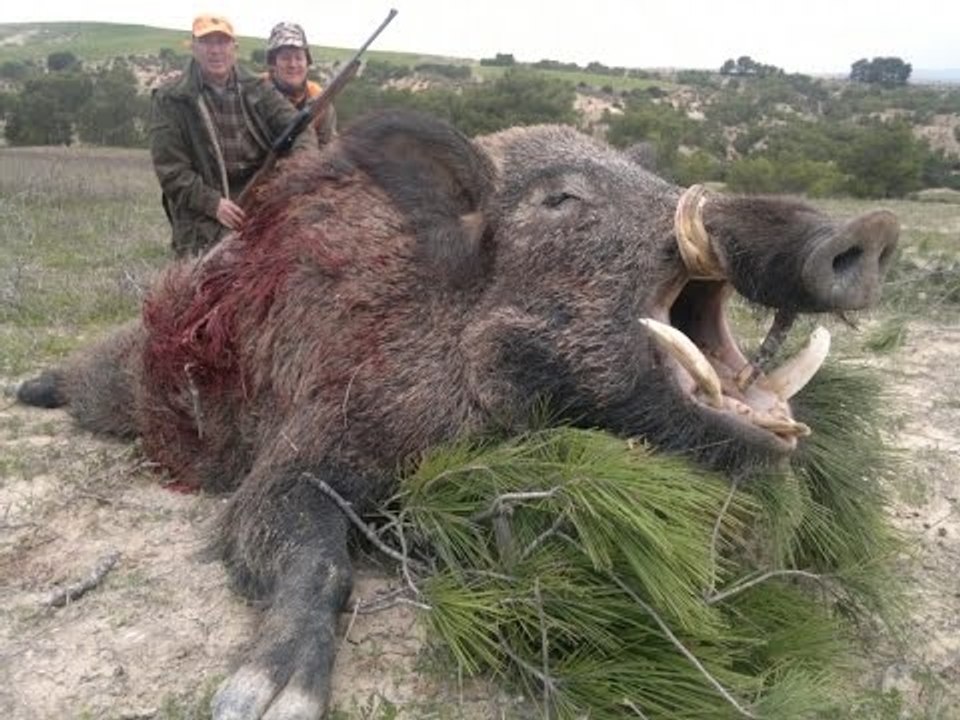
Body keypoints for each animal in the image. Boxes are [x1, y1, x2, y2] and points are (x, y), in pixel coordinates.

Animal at [15, 109, 898, 719]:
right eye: (559, 199)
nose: (868, 228)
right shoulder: (303, 447)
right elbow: (309, 550)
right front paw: (260, 702)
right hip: (122, 381)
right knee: (87, 380)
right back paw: (28, 389)